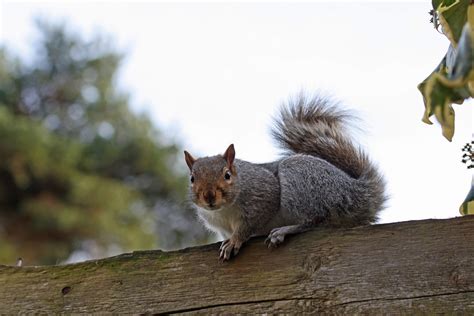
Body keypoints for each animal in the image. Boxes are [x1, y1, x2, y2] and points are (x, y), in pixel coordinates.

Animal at [183, 94, 386, 262]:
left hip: (301, 183)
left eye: (227, 175)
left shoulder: (263, 195)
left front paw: (234, 241)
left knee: (316, 221)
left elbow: (249, 224)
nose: (209, 196)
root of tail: (357, 190)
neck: (223, 211)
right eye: (192, 179)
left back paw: (284, 230)